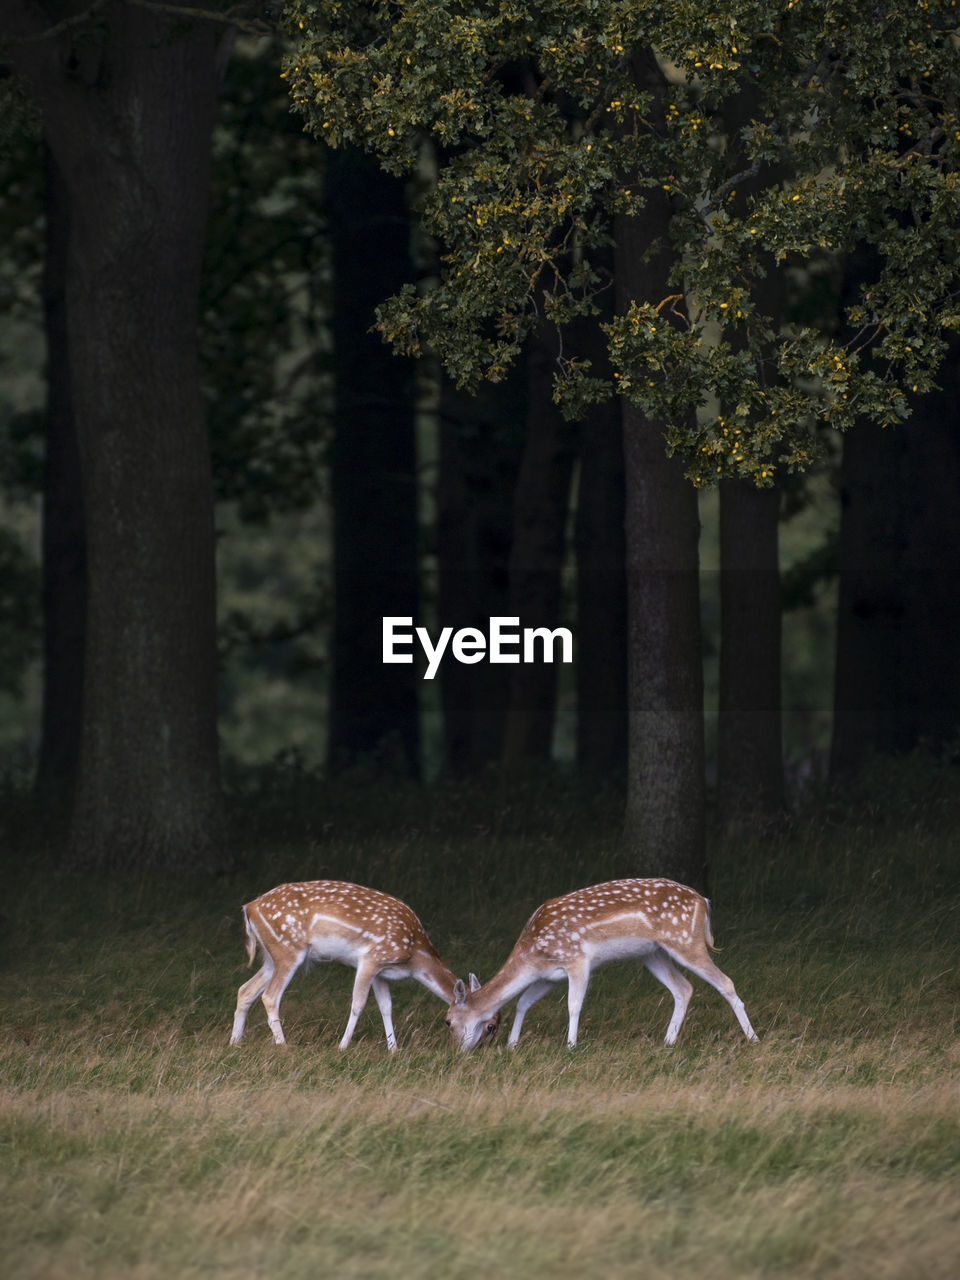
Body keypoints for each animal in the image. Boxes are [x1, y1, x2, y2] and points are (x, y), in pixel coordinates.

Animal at [229, 880, 488, 1049]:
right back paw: (283, 1046)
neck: (415, 955)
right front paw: (343, 1046)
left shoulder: (382, 972)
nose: (473, 1052)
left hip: (272, 956)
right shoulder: (371, 958)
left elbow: (386, 1006)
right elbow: (358, 1003)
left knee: (245, 989)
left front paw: (394, 1050)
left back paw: (235, 1043)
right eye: (490, 1025)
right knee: (270, 996)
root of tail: (249, 908)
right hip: (288, 949)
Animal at [448, 880, 762, 1049]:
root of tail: (703, 901)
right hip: (653, 954)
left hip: (686, 942)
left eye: (448, 1021)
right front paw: (513, 1045)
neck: (532, 951)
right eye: (492, 1025)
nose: (456, 1052)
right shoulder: (548, 976)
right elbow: (523, 1001)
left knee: (725, 982)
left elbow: (573, 1005)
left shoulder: (577, 960)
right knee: (683, 988)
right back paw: (667, 1041)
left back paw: (753, 1038)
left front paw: (571, 1046)